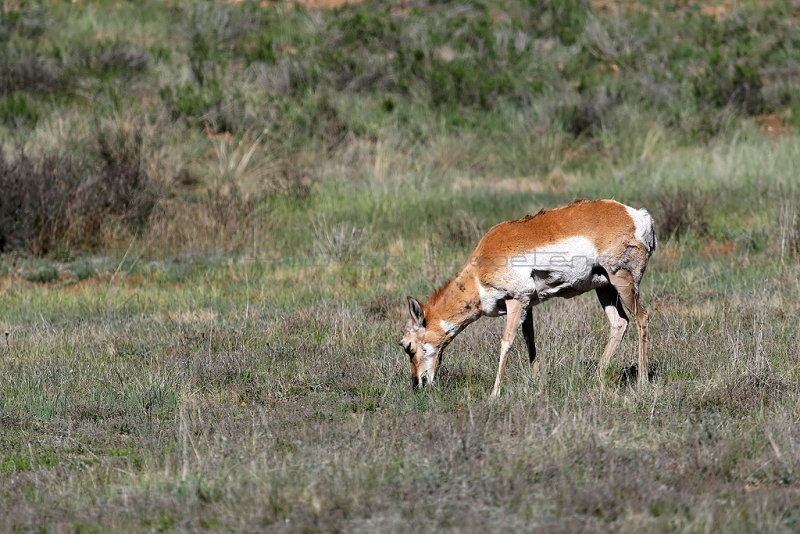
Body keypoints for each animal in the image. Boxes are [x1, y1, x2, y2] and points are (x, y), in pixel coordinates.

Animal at [400, 200, 656, 398]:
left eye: (407, 346)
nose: (416, 384)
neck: (477, 273)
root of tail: (637, 215)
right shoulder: (528, 306)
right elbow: (529, 341)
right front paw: (537, 383)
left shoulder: (515, 300)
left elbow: (506, 342)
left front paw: (494, 394)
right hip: (605, 287)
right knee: (619, 323)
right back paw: (597, 378)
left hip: (622, 280)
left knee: (642, 317)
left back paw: (642, 382)